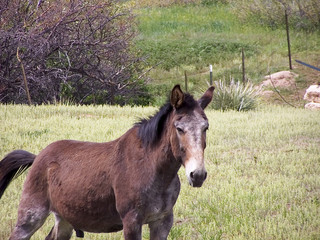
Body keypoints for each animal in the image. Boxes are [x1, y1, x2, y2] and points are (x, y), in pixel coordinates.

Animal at [0, 85, 215, 239]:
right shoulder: (132, 222)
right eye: (179, 128)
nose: (197, 175)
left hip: (64, 220)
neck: (150, 167)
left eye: (206, 127)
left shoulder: (162, 222)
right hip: (31, 216)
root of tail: (38, 158)